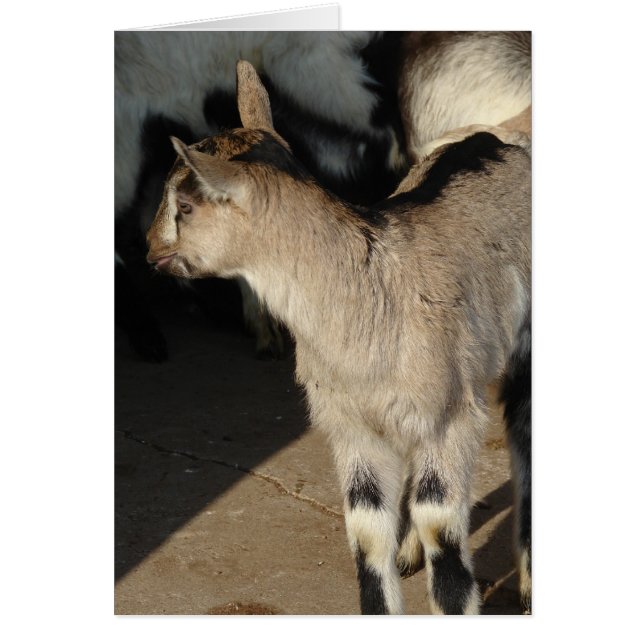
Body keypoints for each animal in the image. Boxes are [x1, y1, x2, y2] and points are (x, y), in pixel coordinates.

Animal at [146, 61, 531, 615]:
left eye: (187, 205)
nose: (150, 250)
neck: (371, 296)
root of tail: (502, 133)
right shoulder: (350, 424)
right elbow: (367, 535)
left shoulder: (450, 414)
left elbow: (441, 530)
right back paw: (409, 552)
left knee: (523, 437)